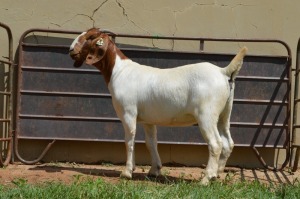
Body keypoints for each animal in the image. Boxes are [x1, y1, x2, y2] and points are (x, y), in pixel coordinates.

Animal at [69, 28, 247, 185]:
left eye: (89, 37)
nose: (70, 50)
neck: (119, 71)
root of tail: (224, 72)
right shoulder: (148, 120)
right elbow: (151, 142)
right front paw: (154, 170)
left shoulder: (128, 113)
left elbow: (129, 140)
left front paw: (127, 172)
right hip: (225, 113)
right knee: (228, 143)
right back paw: (217, 174)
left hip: (207, 115)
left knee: (216, 144)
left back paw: (206, 179)